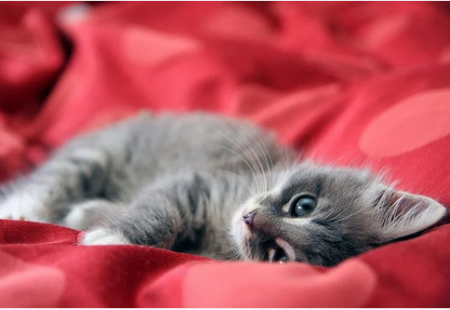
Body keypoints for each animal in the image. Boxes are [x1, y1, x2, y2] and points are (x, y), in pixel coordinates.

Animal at [0, 112, 446, 266]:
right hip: (95, 154)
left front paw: (93, 221)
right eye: (303, 205)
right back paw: (20, 211)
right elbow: (156, 211)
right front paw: (112, 237)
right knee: (46, 182)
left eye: (279, 256)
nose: (250, 219)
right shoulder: (193, 184)